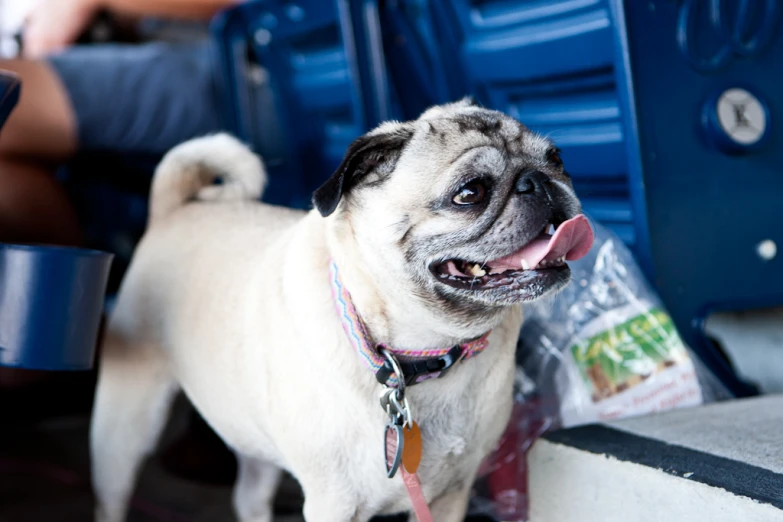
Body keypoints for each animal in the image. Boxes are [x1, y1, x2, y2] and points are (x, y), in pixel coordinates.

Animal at [90, 98, 596, 520]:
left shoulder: (452, 494)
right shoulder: (334, 503)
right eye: (470, 192)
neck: (419, 355)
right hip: (126, 425)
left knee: (249, 496)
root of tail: (174, 209)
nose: (538, 180)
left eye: (557, 160)